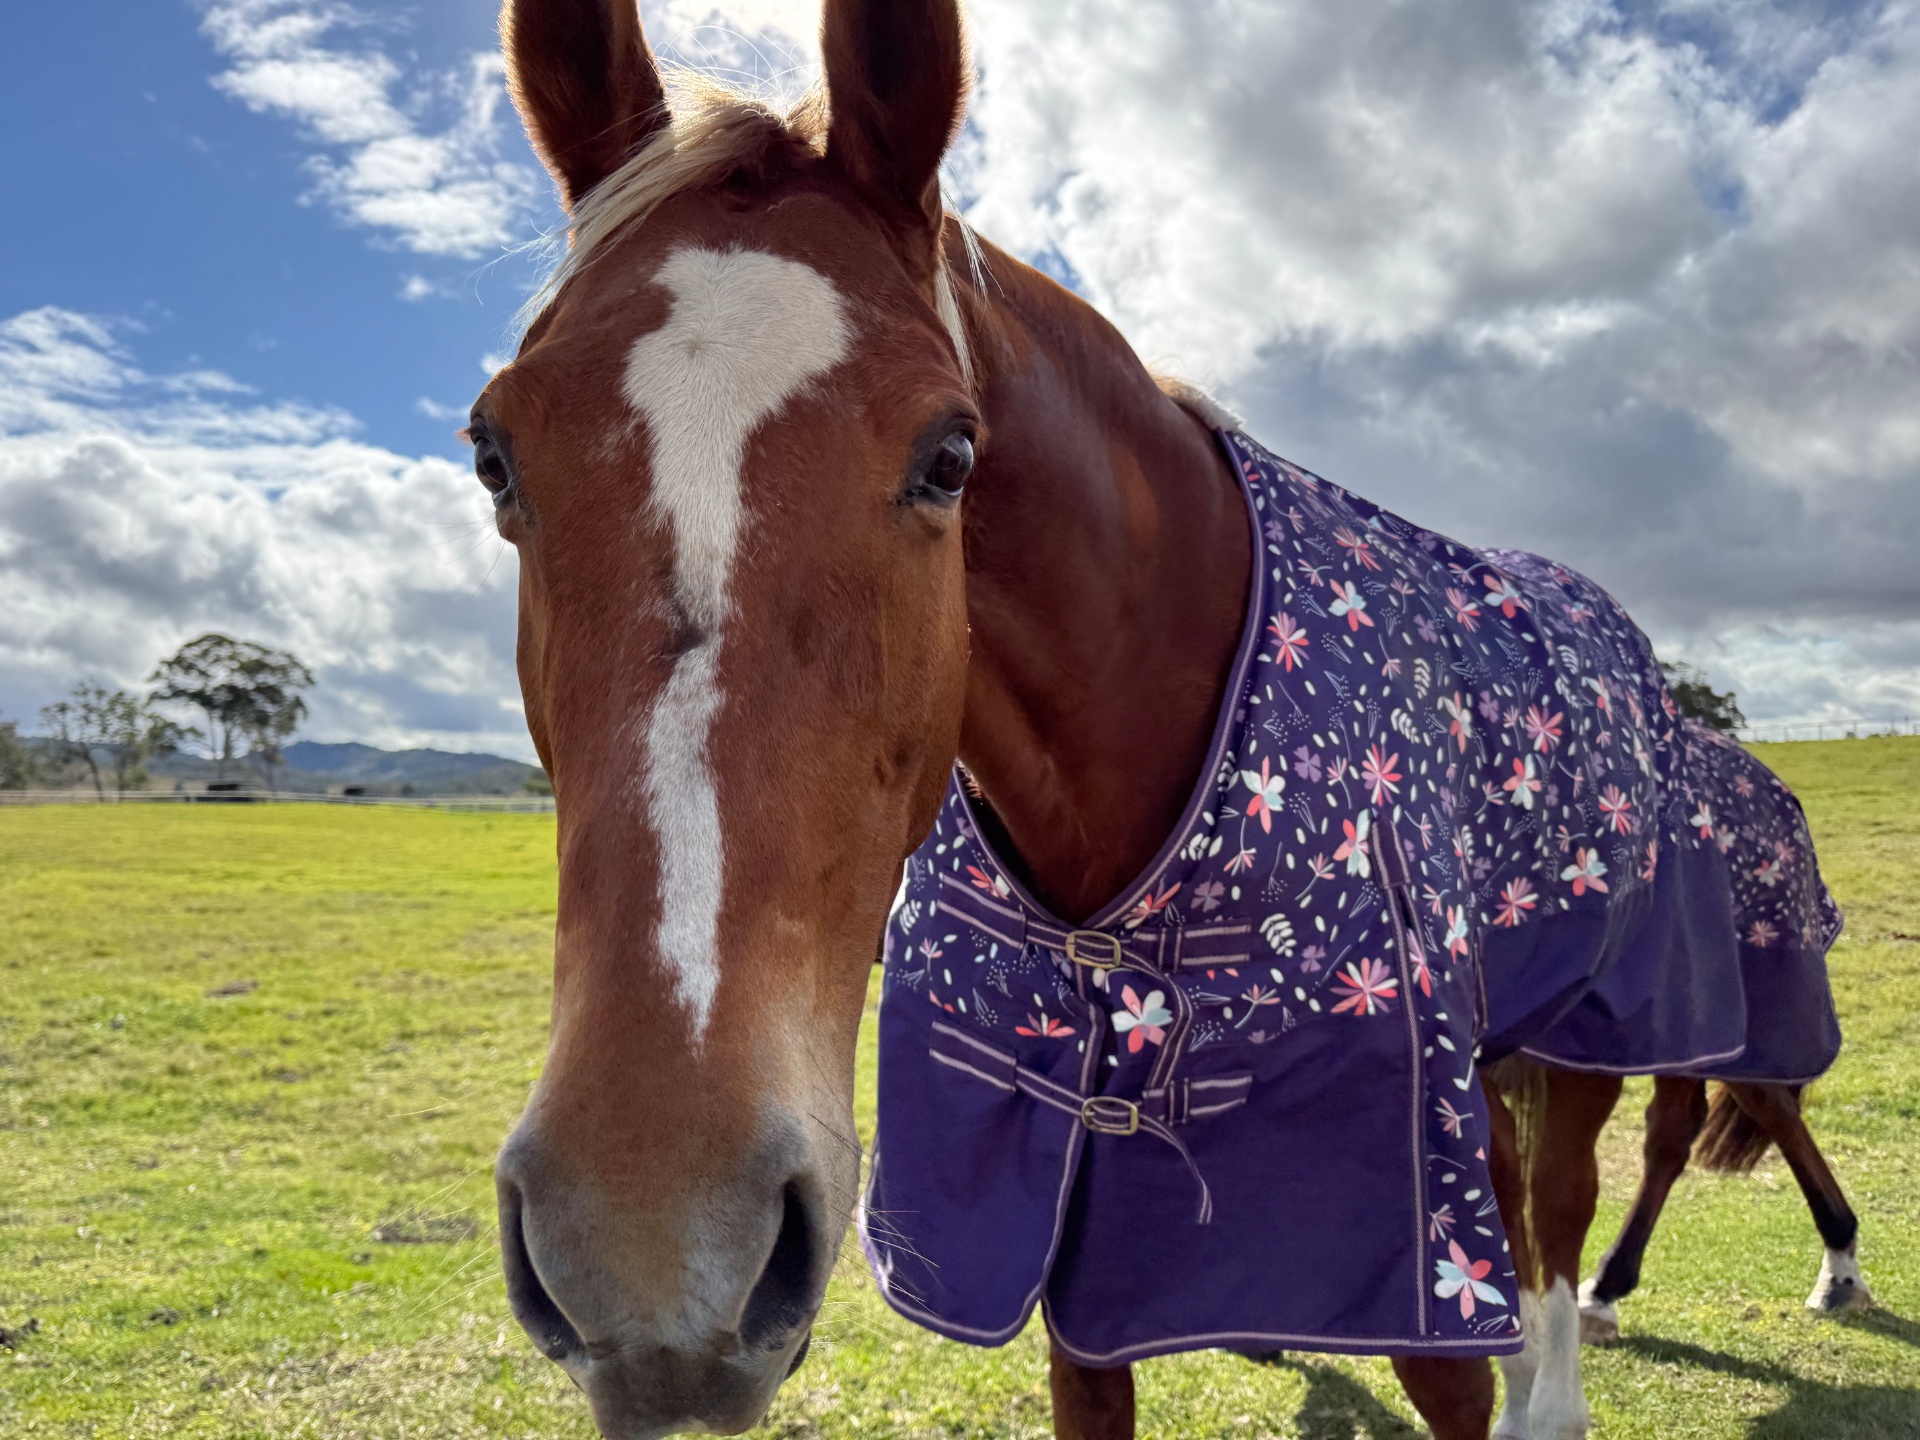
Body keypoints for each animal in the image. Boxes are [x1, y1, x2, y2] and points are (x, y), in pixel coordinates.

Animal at [475, 3, 1856, 1436]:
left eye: (949, 457)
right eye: (494, 454)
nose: (650, 1247)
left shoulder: (1387, 1224)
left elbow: (1454, 1348)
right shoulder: (1067, 1244)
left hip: (1600, 1021)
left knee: (1577, 1198)